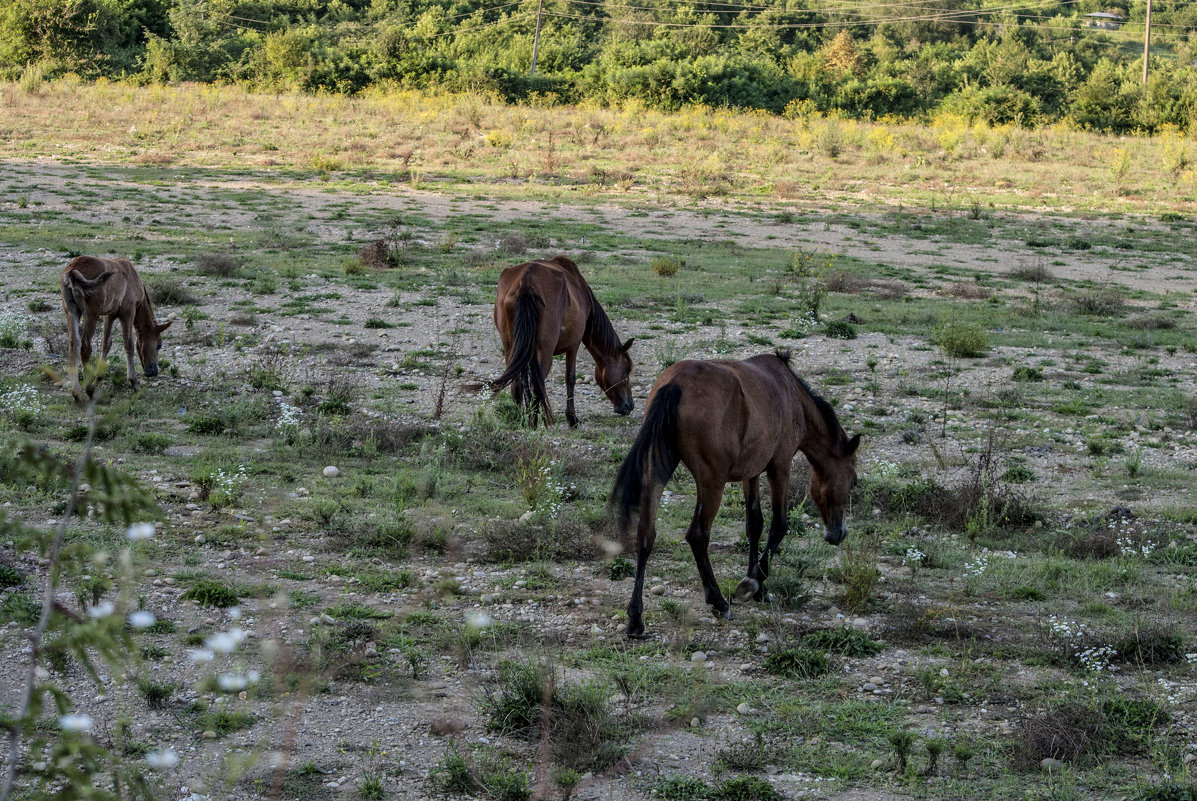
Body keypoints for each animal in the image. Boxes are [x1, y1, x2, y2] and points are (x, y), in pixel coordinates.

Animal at [60, 256, 171, 399]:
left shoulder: (110, 315)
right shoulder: (127, 312)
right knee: (85, 346)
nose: (153, 371)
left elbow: (106, 344)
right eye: (159, 345)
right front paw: (134, 383)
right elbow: (128, 344)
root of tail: (72, 272)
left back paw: (77, 393)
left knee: (74, 344)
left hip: (71, 311)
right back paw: (88, 390)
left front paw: (98, 379)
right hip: (91, 314)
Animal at [490, 257, 636, 431]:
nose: (629, 406)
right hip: (544, 352)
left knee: (516, 383)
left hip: (511, 348)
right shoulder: (574, 345)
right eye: (627, 370)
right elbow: (570, 379)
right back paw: (533, 423)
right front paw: (572, 418)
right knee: (535, 387)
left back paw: (521, 420)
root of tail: (526, 281)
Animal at [608, 349, 861, 636]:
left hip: (658, 471)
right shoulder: (780, 466)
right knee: (697, 535)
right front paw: (753, 583)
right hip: (712, 482)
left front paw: (759, 588)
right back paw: (718, 601)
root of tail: (675, 384)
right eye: (853, 481)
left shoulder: (751, 473)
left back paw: (635, 617)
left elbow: (754, 524)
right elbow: (778, 525)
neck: (792, 394)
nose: (838, 534)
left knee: (646, 535)